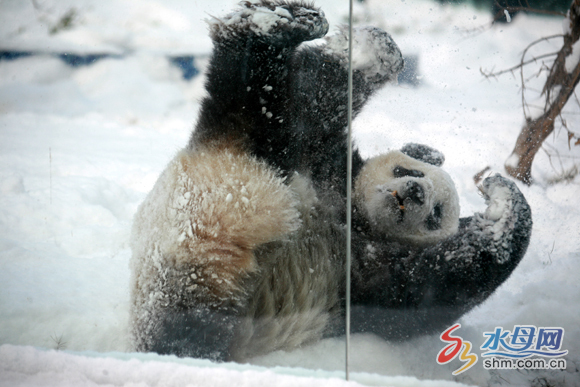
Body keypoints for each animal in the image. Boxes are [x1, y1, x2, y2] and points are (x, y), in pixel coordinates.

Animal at [129, 0, 532, 364]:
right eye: (409, 172)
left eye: (436, 213)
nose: (415, 192)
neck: (353, 214)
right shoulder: (325, 163)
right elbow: (321, 94)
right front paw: (370, 50)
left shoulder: (364, 276)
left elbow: (436, 287)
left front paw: (502, 202)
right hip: (223, 185)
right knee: (250, 104)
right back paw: (276, 23)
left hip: (209, 277)